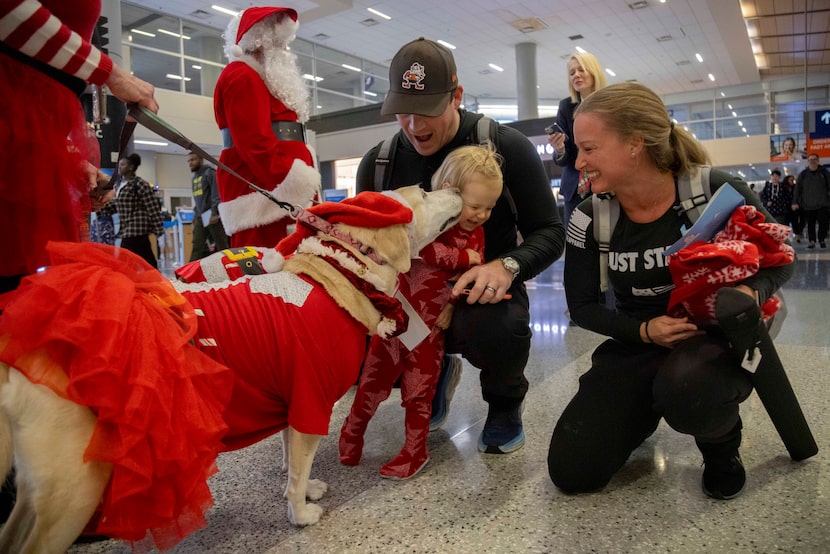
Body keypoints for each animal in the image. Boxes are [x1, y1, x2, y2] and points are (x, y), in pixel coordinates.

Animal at [0, 185, 462, 552]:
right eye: (423, 192)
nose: (457, 189)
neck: (339, 275)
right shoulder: (310, 399)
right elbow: (298, 470)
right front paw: (300, 513)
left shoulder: (293, 400)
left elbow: (291, 458)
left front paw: (306, 491)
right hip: (72, 490)